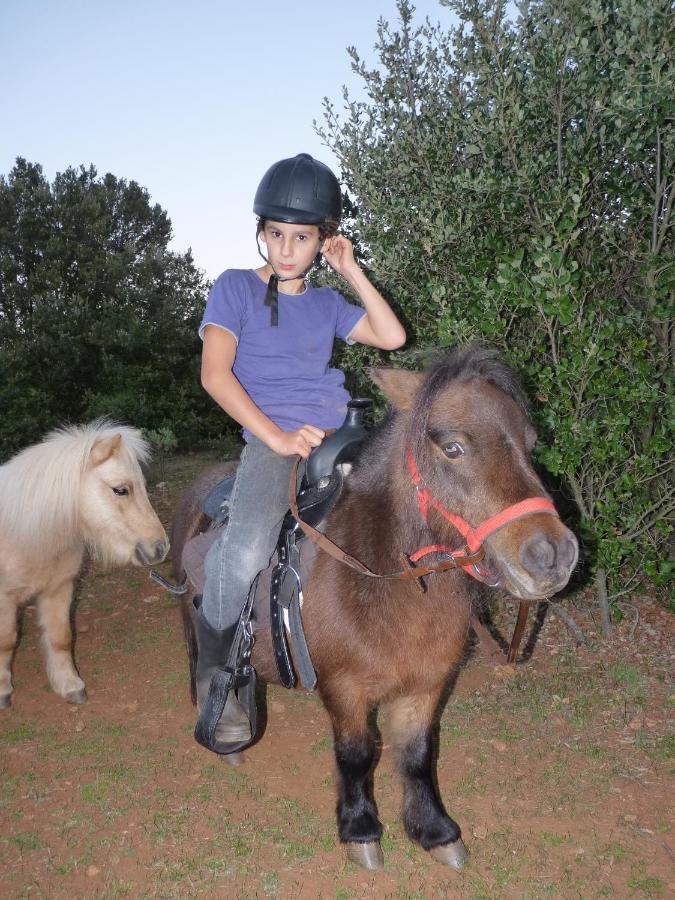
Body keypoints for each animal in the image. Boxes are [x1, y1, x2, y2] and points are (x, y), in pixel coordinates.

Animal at [172, 346, 580, 872]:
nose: (552, 555)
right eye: (453, 448)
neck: (391, 586)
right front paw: (360, 829)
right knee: (203, 663)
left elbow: (417, 755)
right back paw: (226, 730)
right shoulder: (345, 690)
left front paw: (434, 830)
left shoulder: (427, 685)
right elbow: (357, 755)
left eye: (530, 444)